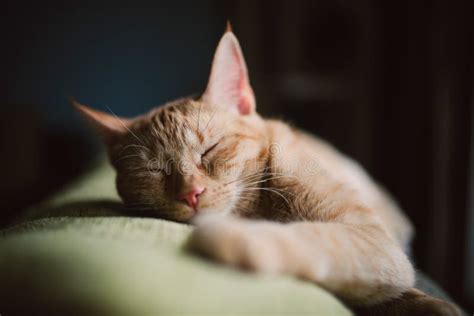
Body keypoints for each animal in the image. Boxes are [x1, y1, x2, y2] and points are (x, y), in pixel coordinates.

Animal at [72, 25, 462, 316]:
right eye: (154, 170)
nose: (191, 193)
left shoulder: (373, 239)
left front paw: (237, 240)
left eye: (210, 149)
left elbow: (317, 239)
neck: (258, 205)